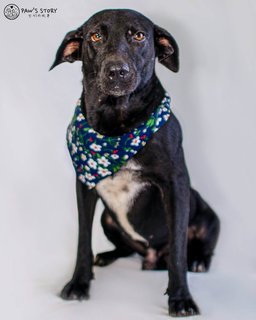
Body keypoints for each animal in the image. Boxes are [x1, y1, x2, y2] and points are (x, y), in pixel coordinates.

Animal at [50, 8, 220, 316]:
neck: (117, 123)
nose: (117, 71)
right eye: (95, 36)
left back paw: (199, 260)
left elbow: (178, 250)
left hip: (208, 215)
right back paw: (107, 256)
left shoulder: (176, 185)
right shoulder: (84, 186)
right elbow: (82, 241)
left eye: (139, 35)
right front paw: (79, 284)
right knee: (125, 248)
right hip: (107, 219)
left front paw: (181, 299)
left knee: (198, 247)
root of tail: (151, 258)